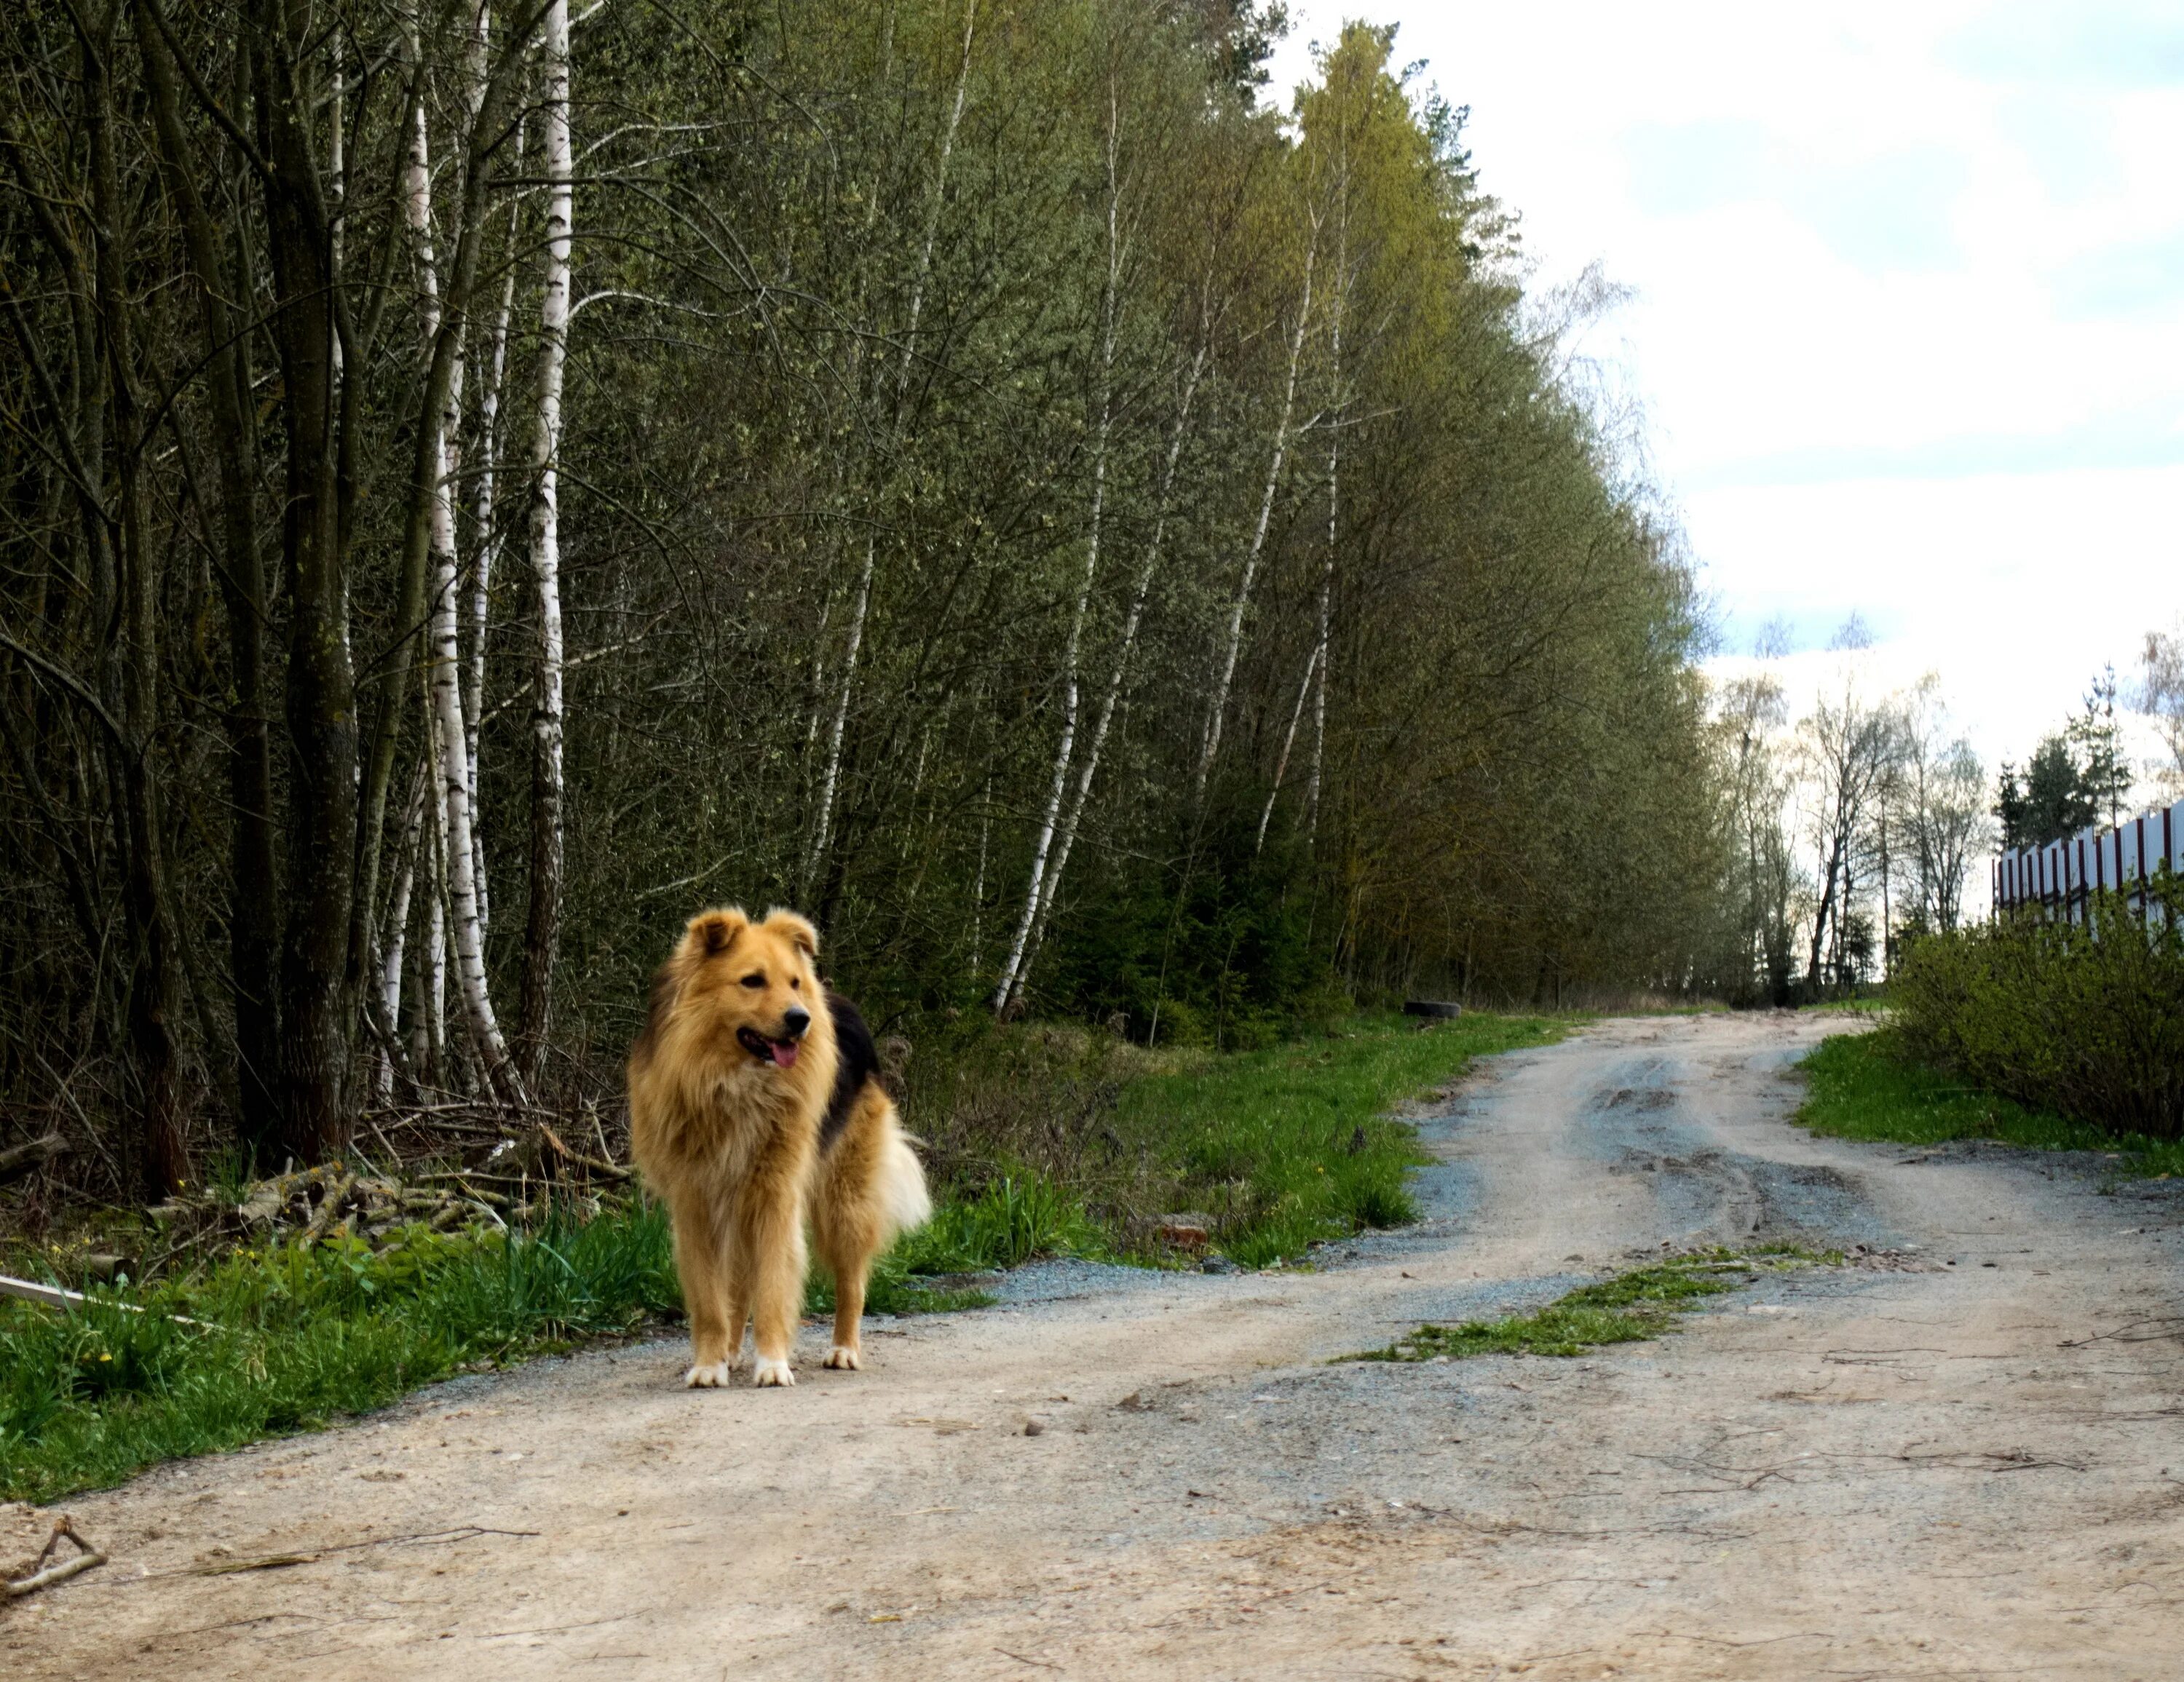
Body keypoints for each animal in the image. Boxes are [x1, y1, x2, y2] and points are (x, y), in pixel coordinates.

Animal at [625, 908, 930, 1380]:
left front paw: (771, 1364)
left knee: (852, 1282)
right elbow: (710, 1299)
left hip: (845, 1199)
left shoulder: (775, 1195)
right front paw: (710, 1363)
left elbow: (772, 1285)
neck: (735, 1082)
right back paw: (732, 1351)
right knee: (738, 1287)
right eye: (752, 981)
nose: (800, 1019)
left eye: (793, 982)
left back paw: (844, 1349)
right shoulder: (696, 1202)